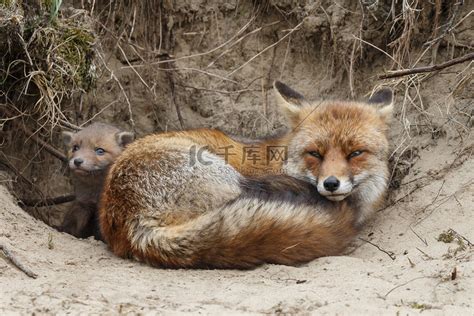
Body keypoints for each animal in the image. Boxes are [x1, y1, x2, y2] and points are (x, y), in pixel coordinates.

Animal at [99, 81, 392, 266]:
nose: (331, 183)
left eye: (355, 153)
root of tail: (129, 219)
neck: (278, 161)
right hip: (227, 177)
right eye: (315, 154)